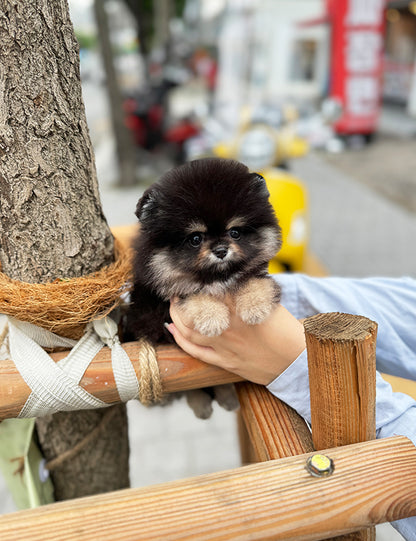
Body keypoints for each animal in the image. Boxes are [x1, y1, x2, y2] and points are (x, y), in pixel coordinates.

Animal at [125, 156, 282, 344]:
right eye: (195, 239)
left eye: (234, 232)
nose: (221, 250)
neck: (218, 277)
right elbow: (194, 294)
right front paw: (212, 318)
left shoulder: (254, 271)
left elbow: (254, 281)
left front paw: (255, 307)